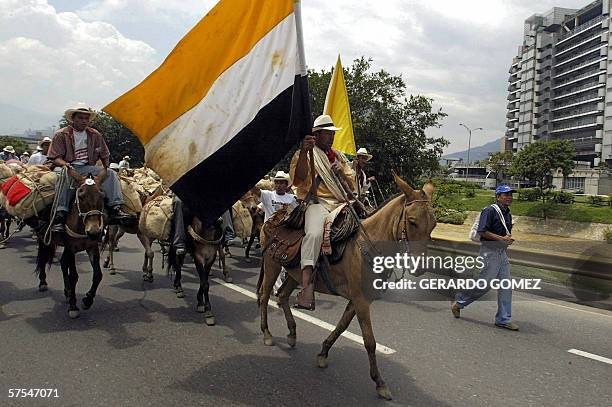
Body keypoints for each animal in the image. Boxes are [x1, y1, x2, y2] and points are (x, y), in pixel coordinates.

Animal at [256, 173, 436, 402]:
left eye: (434, 224)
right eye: (412, 222)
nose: (420, 268)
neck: (367, 245)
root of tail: (272, 218)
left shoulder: (358, 300)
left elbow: (341, 326)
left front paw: (323, 353)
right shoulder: (361, 301)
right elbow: (370, 341)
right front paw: (379, 382)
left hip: (295, 273)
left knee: (282, 296)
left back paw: (292, 332)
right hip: (272, 265)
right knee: (264, 296)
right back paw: (267, 334)